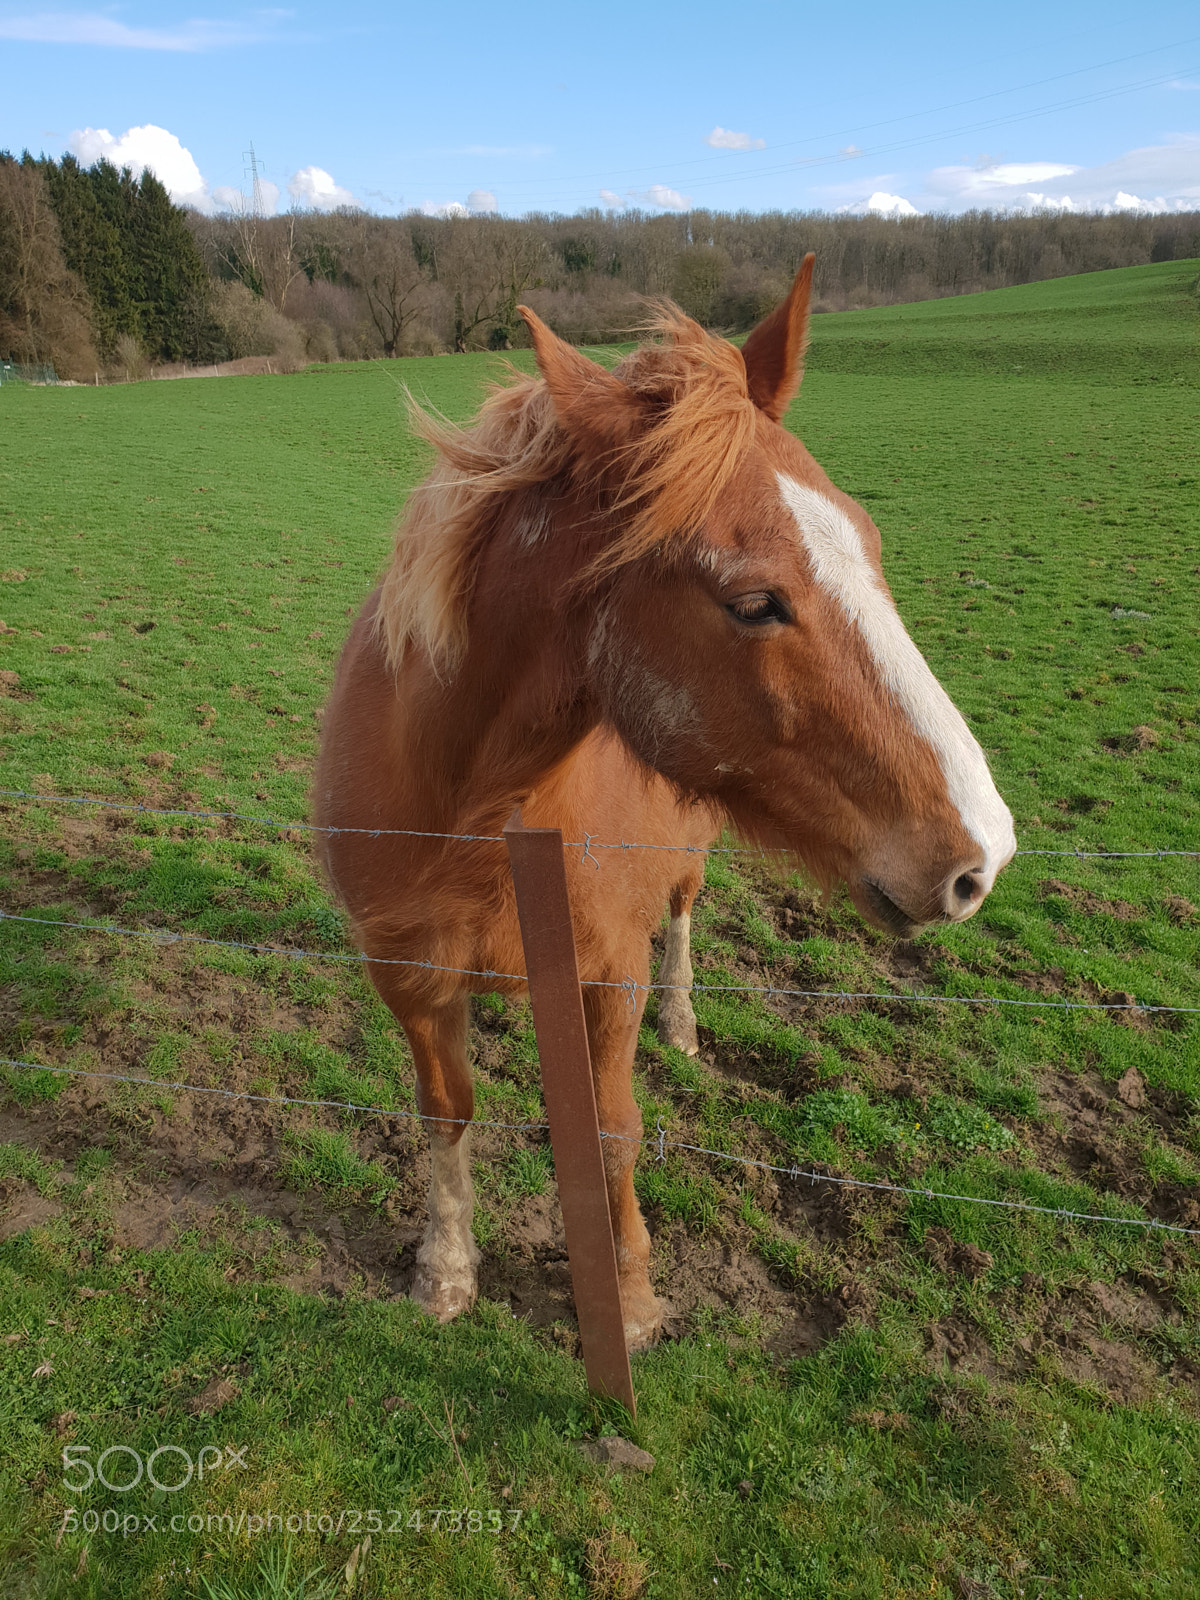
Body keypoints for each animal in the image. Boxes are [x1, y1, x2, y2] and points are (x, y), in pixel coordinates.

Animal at [312, 256, 1016, 1351]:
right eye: (754, 602)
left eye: (868, 540)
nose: (983, 853)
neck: (473, 804)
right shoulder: (410, 977)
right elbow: (446, 1113)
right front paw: (445, 1271)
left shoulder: (608, 972)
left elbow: (610, 1129)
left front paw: (631, 1296)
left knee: (684, 916)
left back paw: (686, 1028)